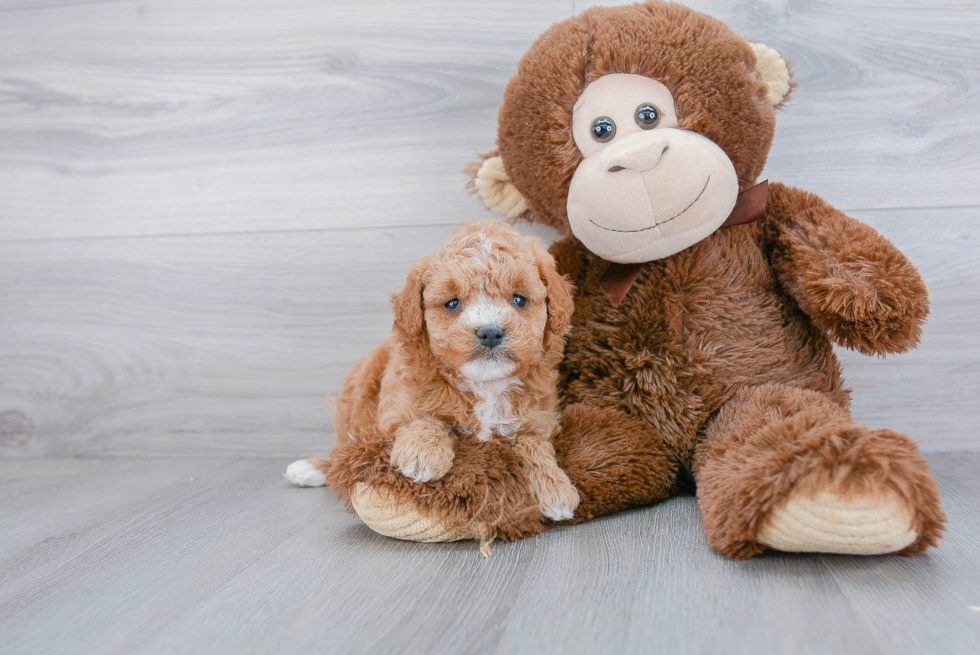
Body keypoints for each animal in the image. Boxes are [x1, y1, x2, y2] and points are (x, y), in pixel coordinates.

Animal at [286, 220, 580, 524]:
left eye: (519, 299)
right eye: (452, 303)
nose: (490, 332)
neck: (485, 385)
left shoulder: (537, 418)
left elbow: (534, 445)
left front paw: (555, 487)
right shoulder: (400, 401)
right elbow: (423, 416)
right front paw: (422, 454)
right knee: (344, 445)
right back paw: (312, 468)